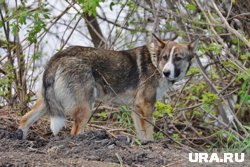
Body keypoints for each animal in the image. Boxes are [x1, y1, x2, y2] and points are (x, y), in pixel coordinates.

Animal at [17, 34, 198, 141]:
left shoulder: (136, 108)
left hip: (46, 103)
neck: (155, 62)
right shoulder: (145, 106)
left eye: (178, 58)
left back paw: (21, 139)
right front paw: (151, 145)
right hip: (85, 108)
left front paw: (143, 145)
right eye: (165, 57)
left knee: (24, 119)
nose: (166, 72)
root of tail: (60, 56)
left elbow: (141, 133)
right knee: (74, 132)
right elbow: (149, 132)